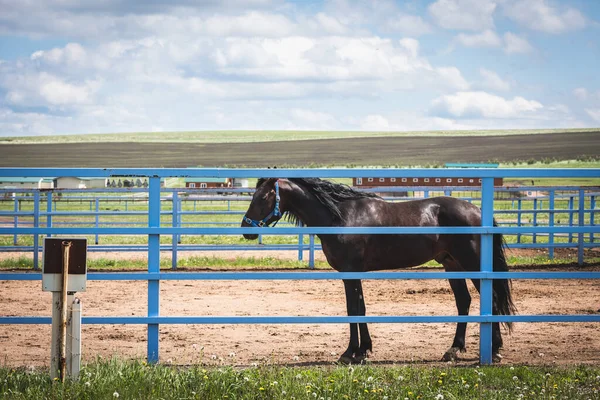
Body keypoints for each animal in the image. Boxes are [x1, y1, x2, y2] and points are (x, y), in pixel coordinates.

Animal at [241, 178, 512, 362]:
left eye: (262, 198)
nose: (246, 228)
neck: (340, 217)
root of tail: (478, 212)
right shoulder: (351, 274)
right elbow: (358, 309)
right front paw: (362, 350)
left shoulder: (351, 272)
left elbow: (354, 310)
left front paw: (352, 352)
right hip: (452, 265)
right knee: (464, 301)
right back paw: (454, 349)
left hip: (472, 264)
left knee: (491, 299)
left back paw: (494, 350)